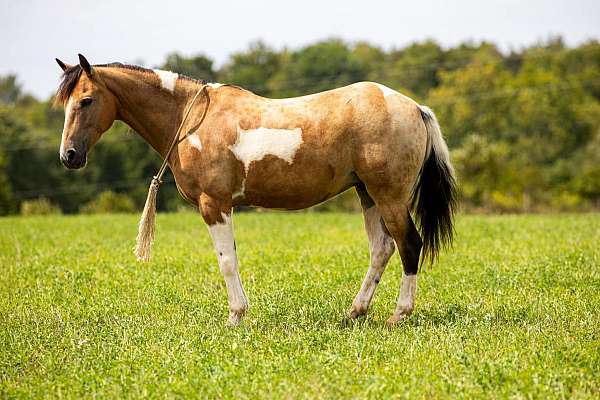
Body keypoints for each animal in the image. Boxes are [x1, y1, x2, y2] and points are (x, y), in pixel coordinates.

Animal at [57, 54, 460, 326]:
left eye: (86, 100)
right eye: (65, 103)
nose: (69, 156)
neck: (191, 118)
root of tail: (413, 106)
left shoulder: (215, 205)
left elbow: (227, 262)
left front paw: (235, 316)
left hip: (389, 196)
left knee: (409, 245)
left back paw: (400, 314)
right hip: (368, 194)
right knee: (382, 248)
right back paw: (355, 312)